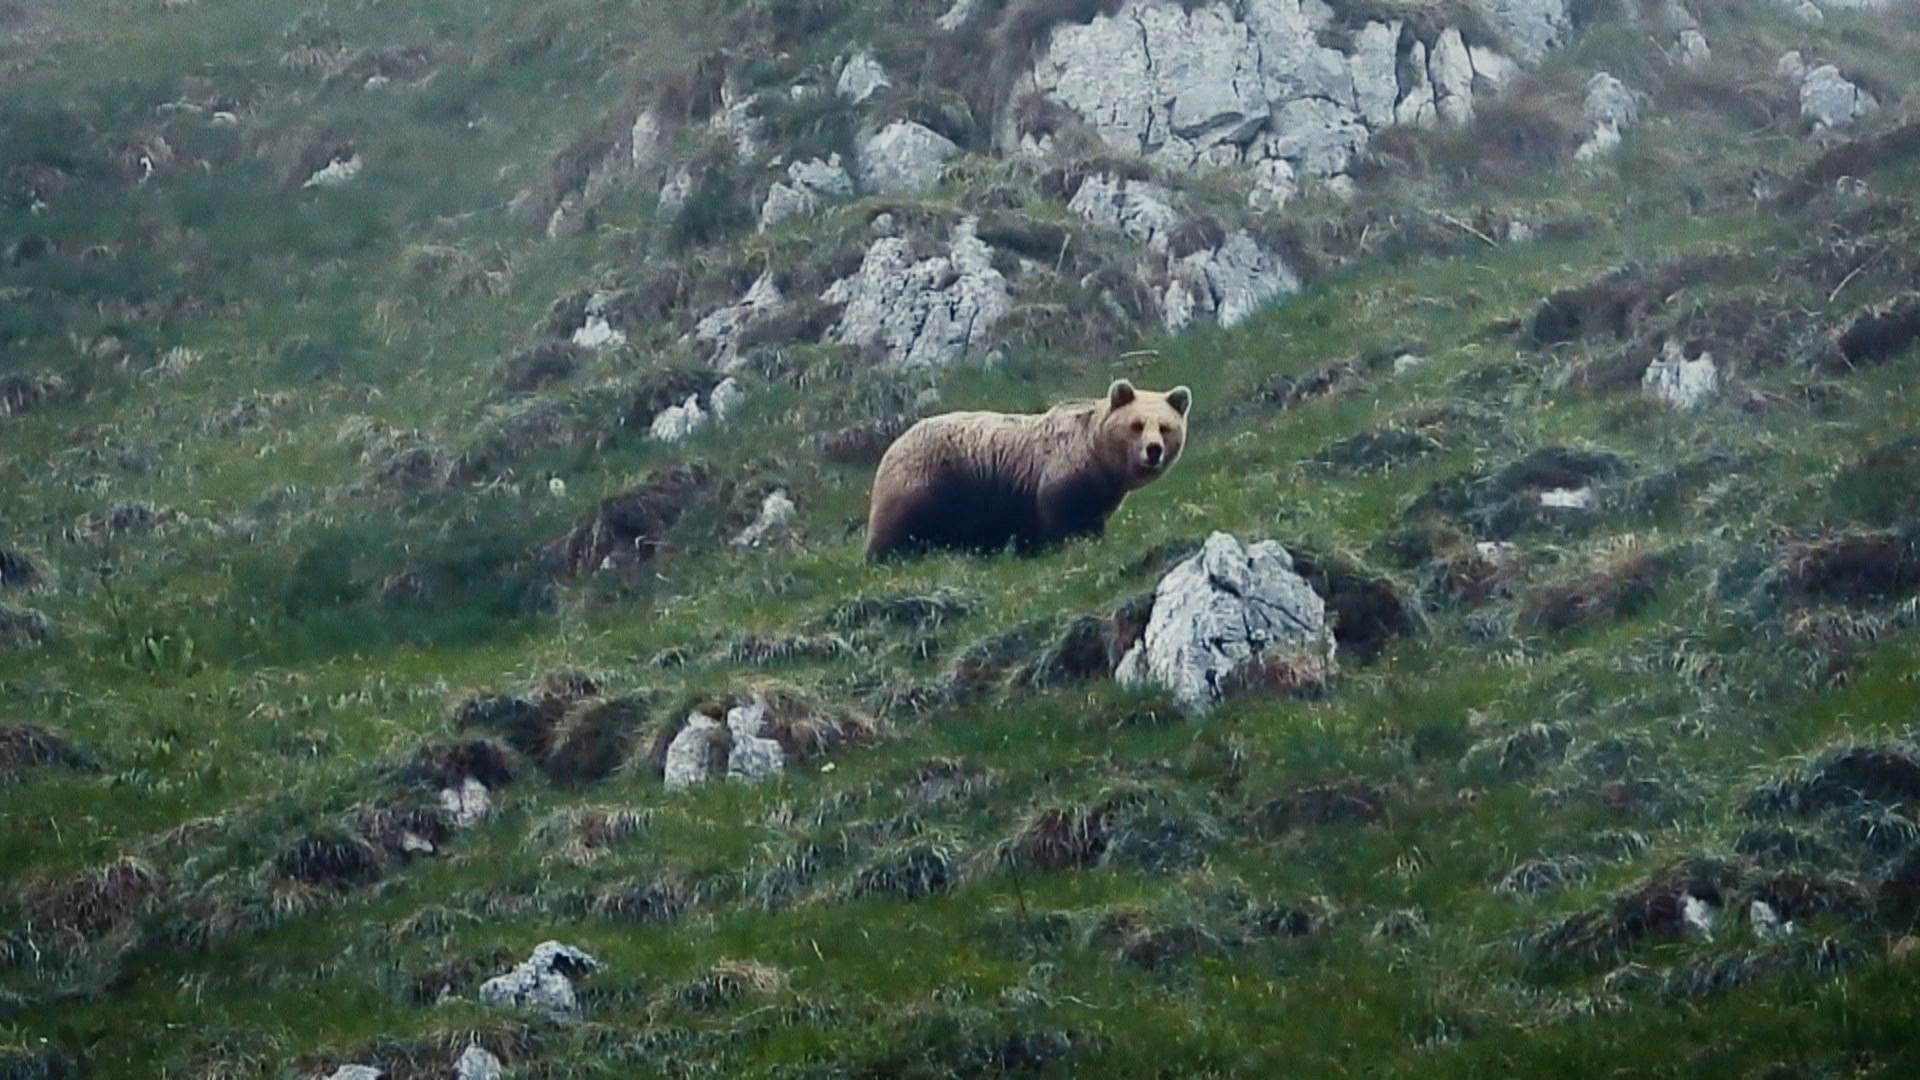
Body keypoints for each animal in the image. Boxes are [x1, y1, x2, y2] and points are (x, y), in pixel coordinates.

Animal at [864, 379, 1191, 562]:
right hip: (928, 483)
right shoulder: (1059, 475)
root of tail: (893, 442)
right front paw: (1062, 546)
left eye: (1165, 426)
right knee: (897, 526)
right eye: (1137, 424)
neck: (1099, 460)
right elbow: (1058, 519)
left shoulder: (1099, 495)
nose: (1153, 450)